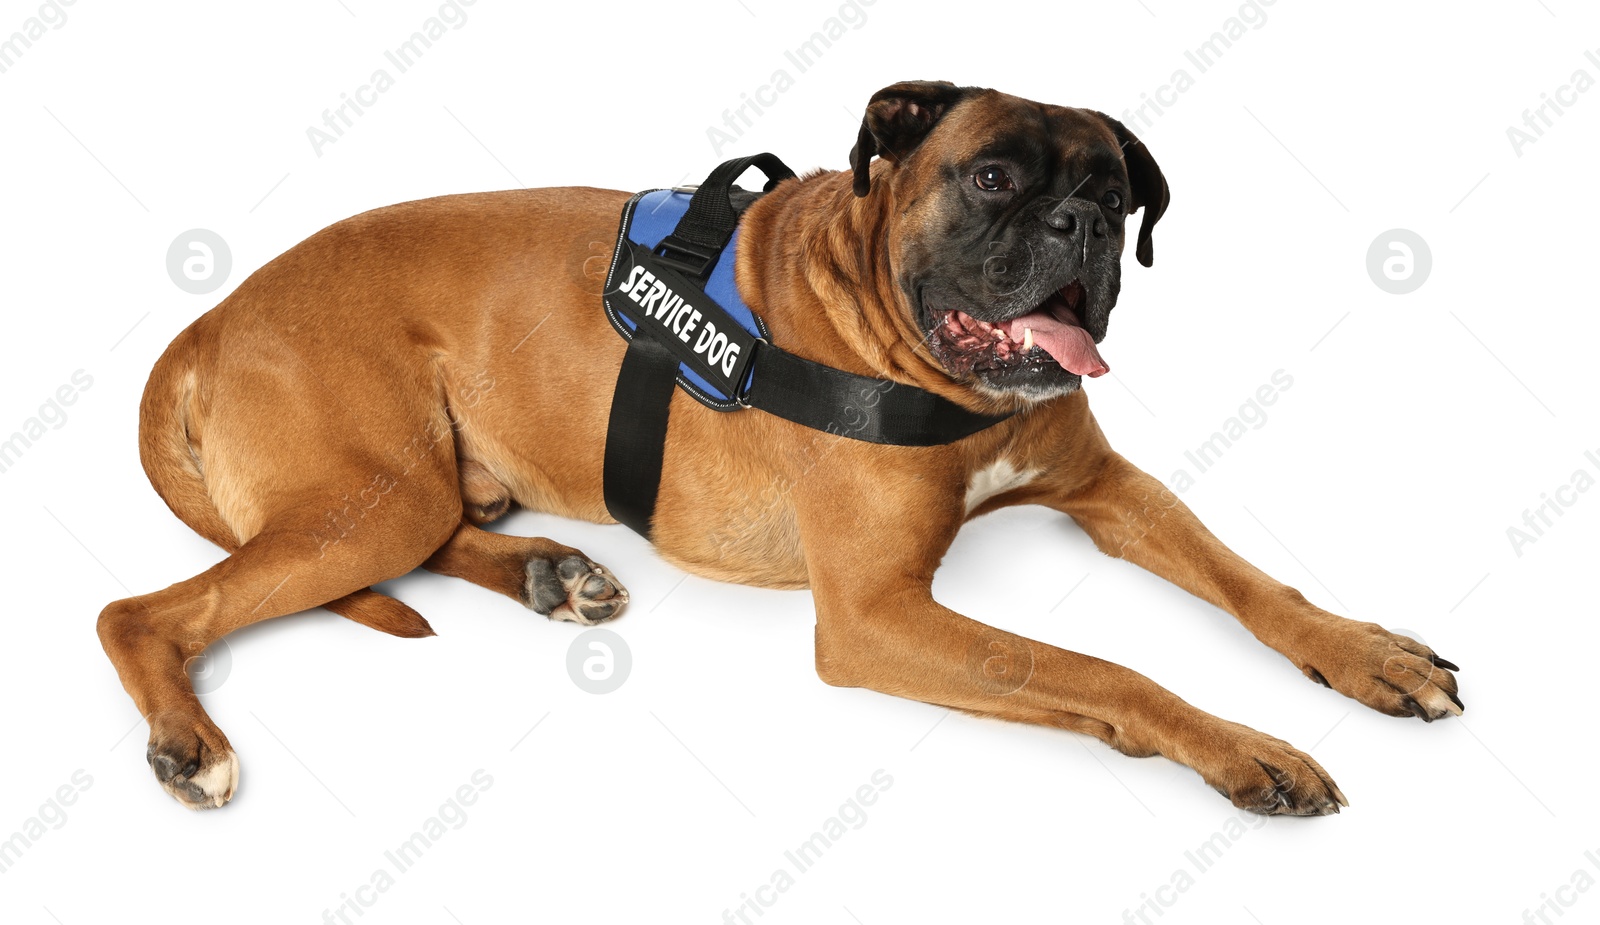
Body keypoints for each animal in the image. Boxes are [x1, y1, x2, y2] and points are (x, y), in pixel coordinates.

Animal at [100, 82, 1465, 809]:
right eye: (991, 178)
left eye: (1114, 189)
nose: (1080, 224)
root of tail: (209, 318)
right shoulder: (873, 616)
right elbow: (1105, 671)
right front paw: (1244, 746)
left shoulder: (1107, 489)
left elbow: (1249, 579)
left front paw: (1366, 654)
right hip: (366, 495)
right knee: (143, 609)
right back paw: (190, 743)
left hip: (409, 487)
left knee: (438, 533)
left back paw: (553, 571)